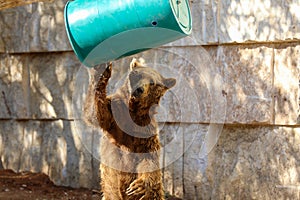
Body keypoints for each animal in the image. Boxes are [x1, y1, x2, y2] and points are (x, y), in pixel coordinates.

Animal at [84, 58, 175, 200]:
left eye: (152, 82)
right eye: (137, 74)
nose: (139, 89)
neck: (132, 113)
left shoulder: (145, 132)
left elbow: (149, 157)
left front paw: (137, 186)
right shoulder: (116, 118)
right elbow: (97, 114)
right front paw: (102, 71)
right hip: (109, 193)